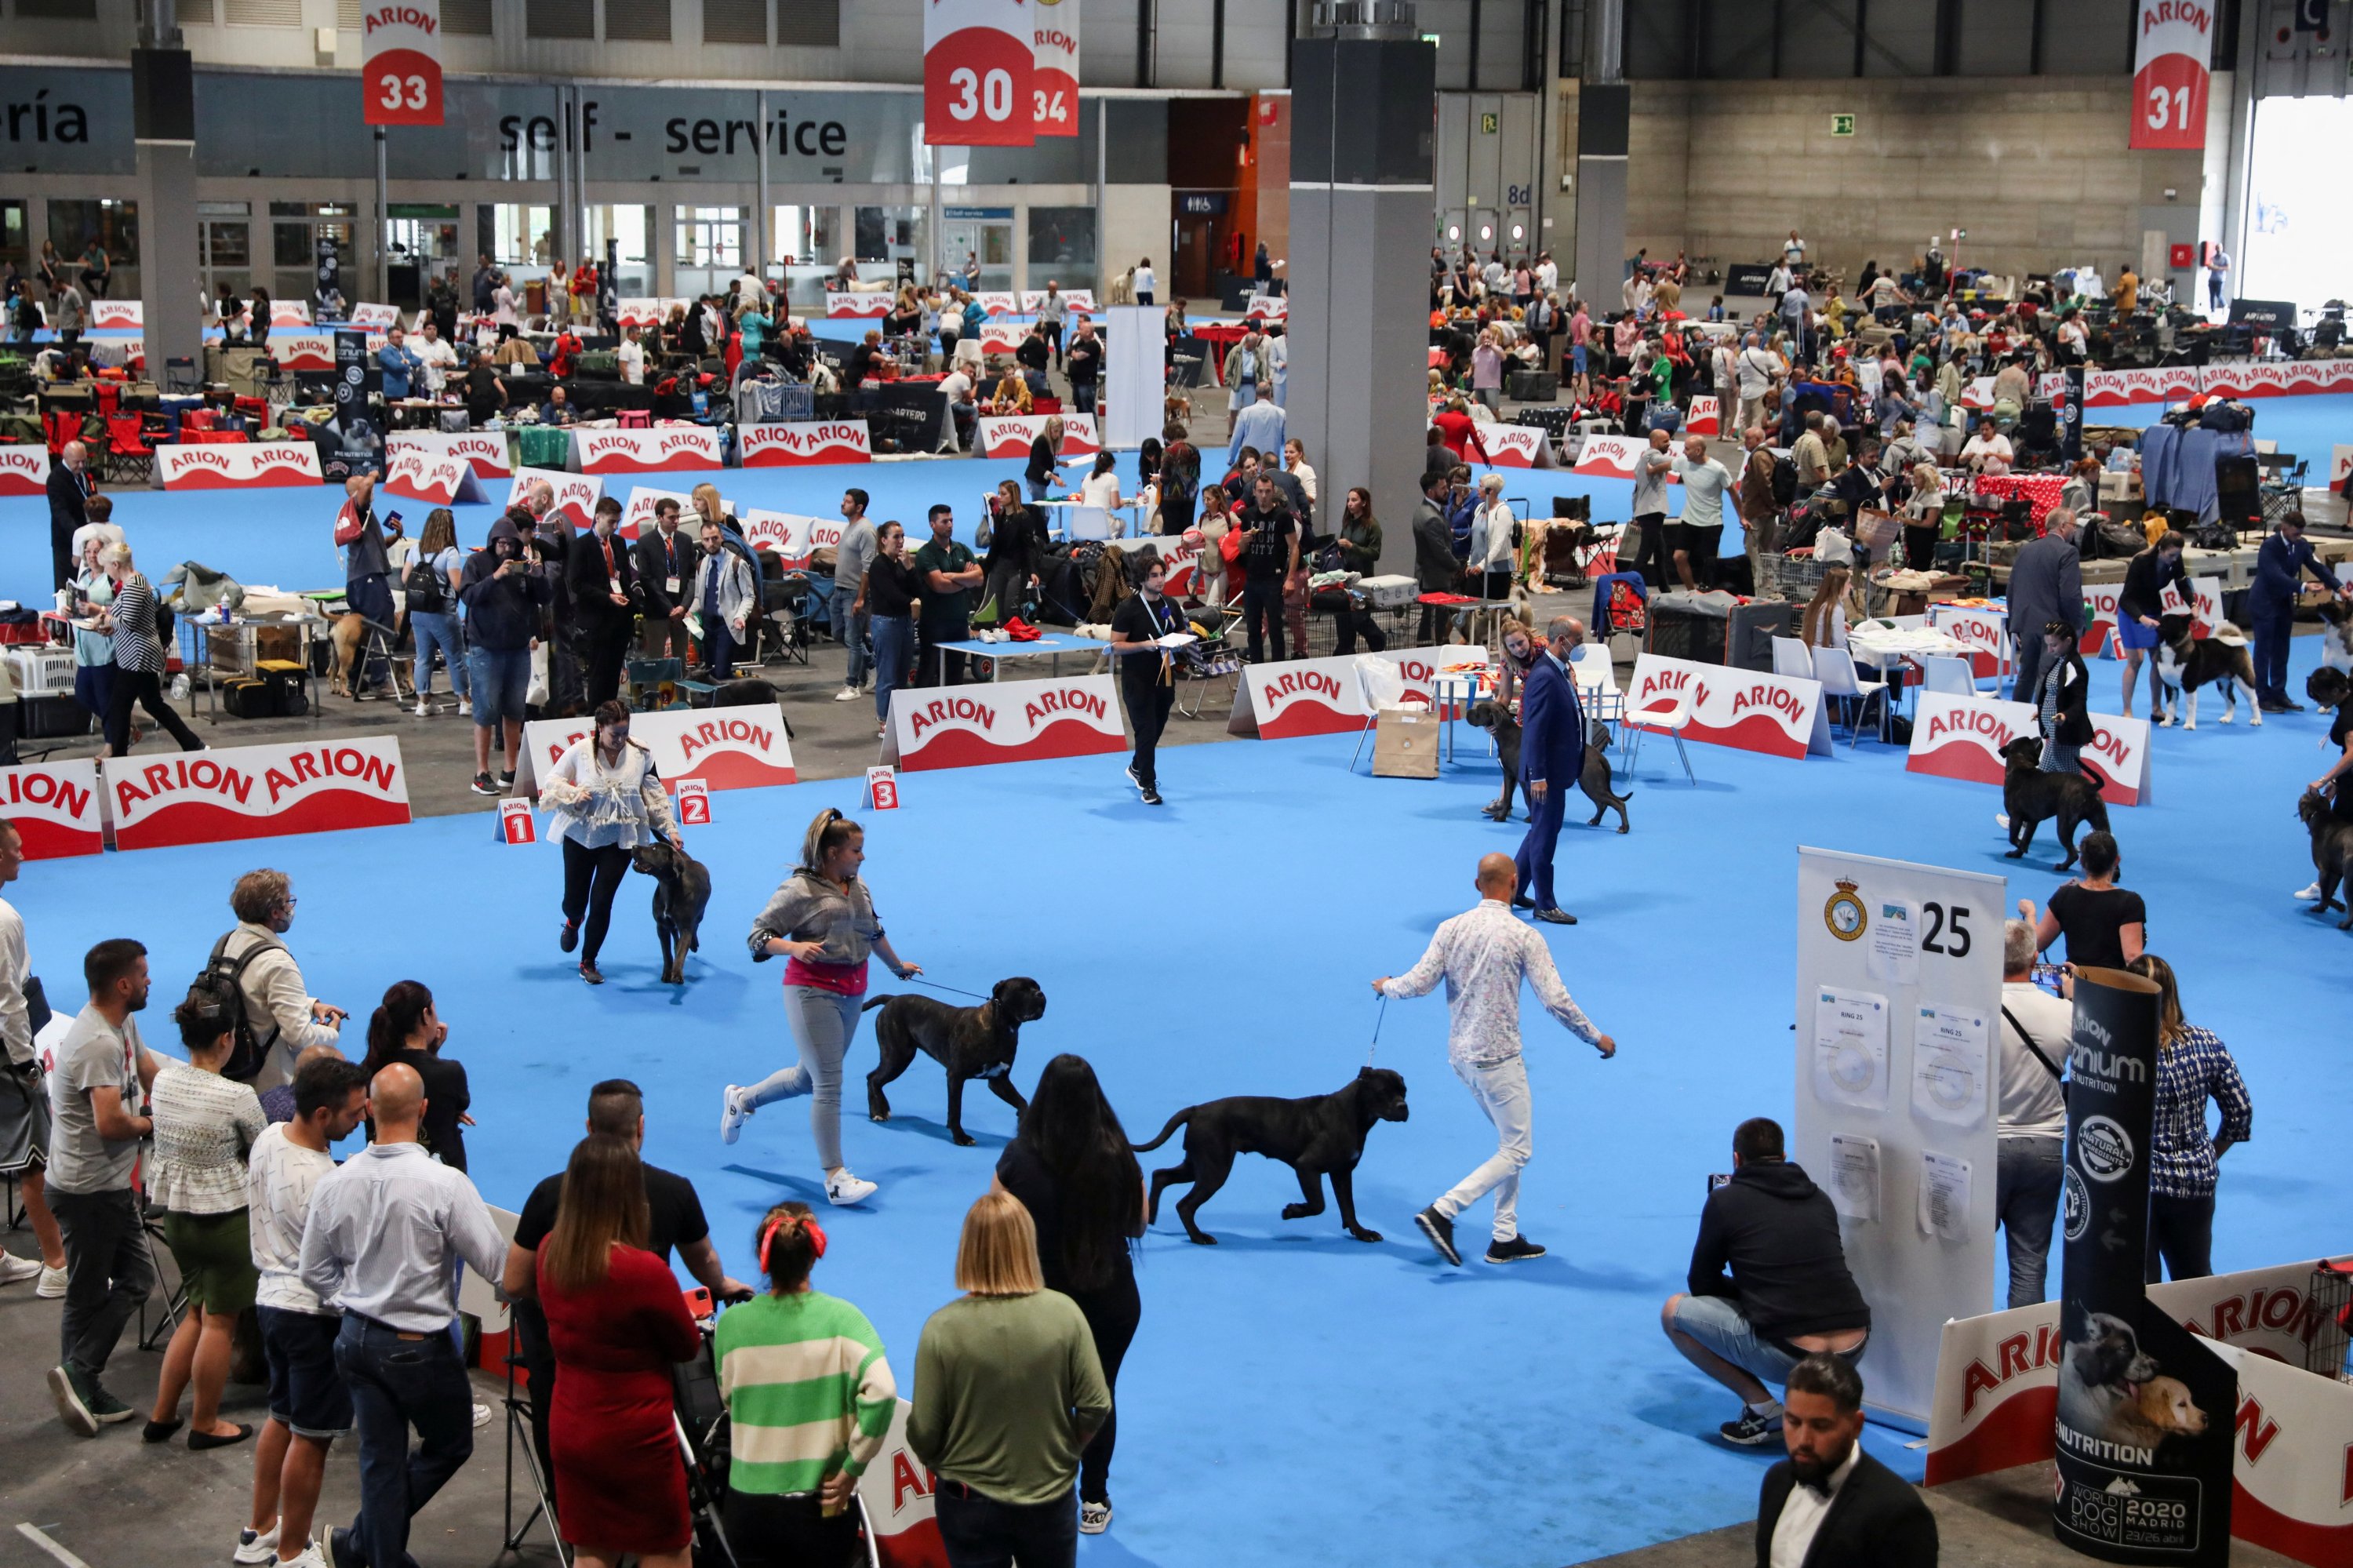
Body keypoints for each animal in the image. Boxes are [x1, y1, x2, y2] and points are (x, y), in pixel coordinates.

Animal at [626, 842, 706, 979]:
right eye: (649, 845)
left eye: (654, 849)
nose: (634, 846)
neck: (668, 886)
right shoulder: (661, 926)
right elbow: (666, 952)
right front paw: (667, 973)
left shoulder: (686, 927)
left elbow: (682, 951)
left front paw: (677, 974)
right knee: (675, 933)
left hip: (700, 914)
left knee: (695, 926)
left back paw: (694, 944)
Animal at [866, 970, 1049, 1144]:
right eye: (1022, 990)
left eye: (1037, 987)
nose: (1040, 994)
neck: (1003, 1027)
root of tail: (892, 999)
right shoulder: (956, 1077)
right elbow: (956, 1110)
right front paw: (961, 1137)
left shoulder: (999, 1080)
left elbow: (1022, 1102)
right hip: (897, 1056)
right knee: (874, 1079)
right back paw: (879, 1112)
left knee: (873, 1078)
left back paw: (878, 1110)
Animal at [1129, 1064, 1402, 1242]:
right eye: (1383, 1092)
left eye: (1404, 1090)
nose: (1404, 1107)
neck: (1356, 1113)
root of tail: (1196, 1110)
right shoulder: (1307, 1166)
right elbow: (1318, 1204)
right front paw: (1291, 1211)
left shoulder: (1343, 1172)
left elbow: (1349, 1207)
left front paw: (1362, 1233)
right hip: (1214, 1170)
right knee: (1185, 1205)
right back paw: (1199, 1237)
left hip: (1199, 1164)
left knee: (1161, 1175)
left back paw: (1151, 1217)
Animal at [1468, 701, 1638, 828]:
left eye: (1478, 710)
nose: (1468, 711)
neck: (1507, 736)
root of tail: (1598, 755)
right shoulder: (1509, 776)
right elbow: (1508, 798)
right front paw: (1504, 816)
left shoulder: (1523, 780)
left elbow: (1527, 800)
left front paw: (1528, 819)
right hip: (1589, 785)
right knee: (1602, 804)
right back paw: (1595, 821)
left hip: (1593, 784)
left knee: (1618, 803)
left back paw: (1624, 828)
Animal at [2005, 729, 2118, 866]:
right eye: (2029, 740)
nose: (2038, 737)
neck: (2020, 764)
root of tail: (2089, 787)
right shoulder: (2032, 821)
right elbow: (2026, 837)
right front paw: (2017, 853)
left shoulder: (2015, 818)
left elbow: (2013, 838)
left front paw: (2021, 847)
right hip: (2100, 820)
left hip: (2064, 825)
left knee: (2073, 854)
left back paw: (2062, 867)